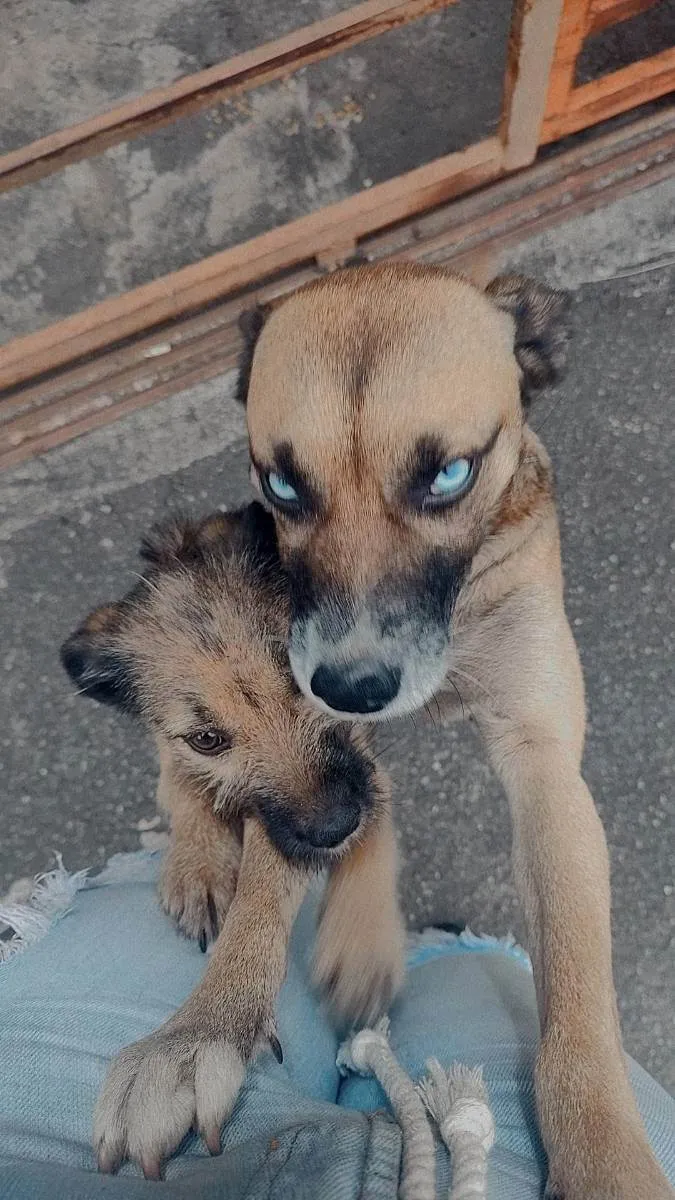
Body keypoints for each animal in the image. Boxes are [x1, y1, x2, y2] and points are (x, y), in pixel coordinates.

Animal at [60, 501, 401, 1176]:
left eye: (303, 681)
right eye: (208, 738)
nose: (334, 828)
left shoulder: (360, 764)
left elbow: (281, 876)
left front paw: (202, 1029)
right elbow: (180, 779)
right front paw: (199, 861)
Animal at [239, 267, 667, 1200]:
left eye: (450, 475)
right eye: (282, 487)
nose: (352, 686)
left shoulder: (542, 761)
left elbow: (575, 983)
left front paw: (603, 1147)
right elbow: (358, 799)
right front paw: (361, 936)